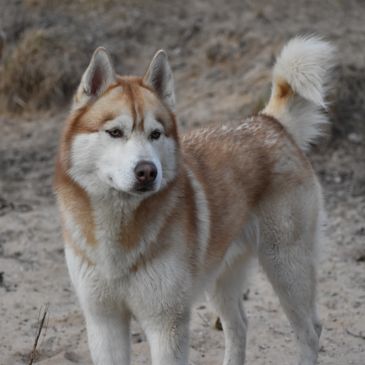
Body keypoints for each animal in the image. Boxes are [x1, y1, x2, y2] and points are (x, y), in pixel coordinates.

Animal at [53, 34, 332, 364]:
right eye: (115, 132)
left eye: (156, 134)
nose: (147, 171)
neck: (119, 229)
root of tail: (269, 122)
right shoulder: (103, 322)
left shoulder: (166, 323)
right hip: (224, 276)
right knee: (239, 325)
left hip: (287, 268)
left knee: (310, 331)